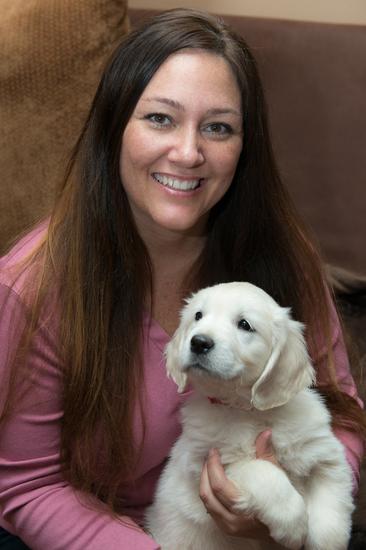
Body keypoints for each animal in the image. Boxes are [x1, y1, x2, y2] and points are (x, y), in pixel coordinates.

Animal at [146, 284, 354, 550]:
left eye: (244, 324)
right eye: (198, 316)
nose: (199, 342)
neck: (248, 410)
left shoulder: (325, 454)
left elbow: (331, 516)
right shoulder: (213, 463)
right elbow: (263, 472)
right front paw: (292, 522)